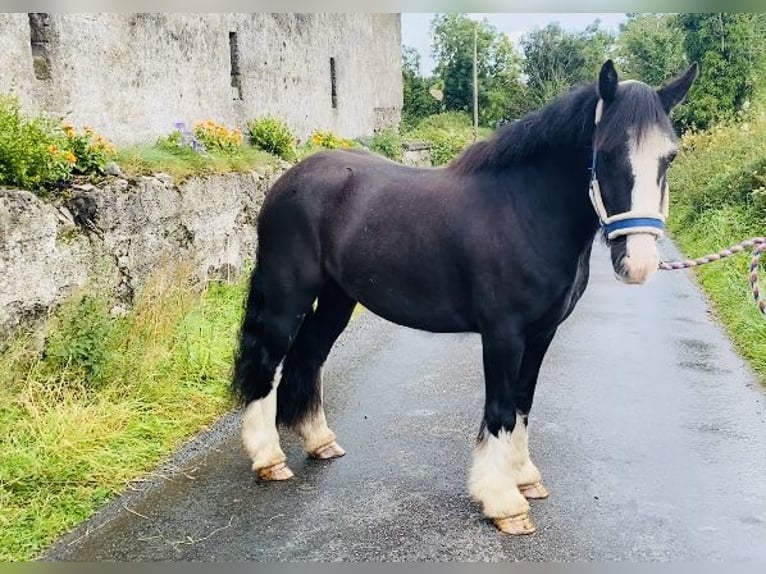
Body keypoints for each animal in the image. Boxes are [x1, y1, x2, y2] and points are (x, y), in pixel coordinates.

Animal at [231, 60, 700, 536]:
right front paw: (503, 501)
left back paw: (319, 440)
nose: (639, 262)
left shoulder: (542, 333)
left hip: (337, 299)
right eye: (604, 153)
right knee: (269, 363)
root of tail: (288, 180)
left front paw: (524, 477)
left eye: (670, 156)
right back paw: (269, 458)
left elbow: (523, 402)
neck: (525, 211)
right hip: (287, 296)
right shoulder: (503, 335)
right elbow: (502, 409)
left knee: (310, 355)